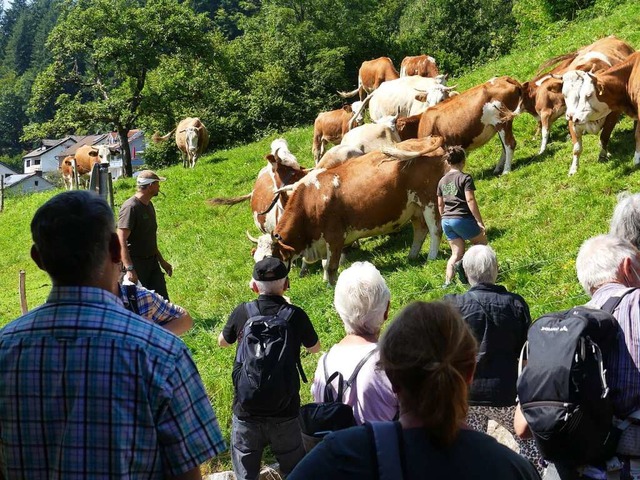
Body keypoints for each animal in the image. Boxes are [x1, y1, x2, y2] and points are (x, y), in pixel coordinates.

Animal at [262, 135, 448, 284]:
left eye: (270, 261)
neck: (309, 201)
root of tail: (427, 139)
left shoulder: (335, 236)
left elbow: (330, 266)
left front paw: (331, 286)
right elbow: (324, 263)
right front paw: (324, 281)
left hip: (429, 200)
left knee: (435, 230)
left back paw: (431, 258)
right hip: (414, 207)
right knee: (420, 230)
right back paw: (412, 257)